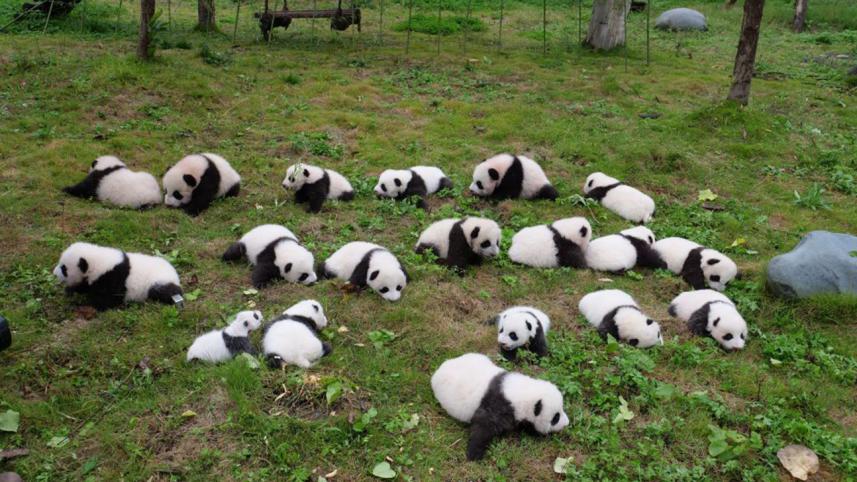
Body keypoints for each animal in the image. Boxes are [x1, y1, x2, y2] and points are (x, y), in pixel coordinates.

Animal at [53, 242, 182, 310]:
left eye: (64, 268)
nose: (54, 273)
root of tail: (175, 275)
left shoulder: (112, 278)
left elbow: (107, 300)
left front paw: (90, 303)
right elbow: (84, 285)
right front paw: (70, 290)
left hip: (158, 281)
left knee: (162, 292)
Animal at [431, 353, 570, 461]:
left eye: (561, 411)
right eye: (555, 418)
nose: (566, 423)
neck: (522, 392)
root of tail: (437, 372)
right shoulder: (497, 405)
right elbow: (482, 426)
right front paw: (474, 454)